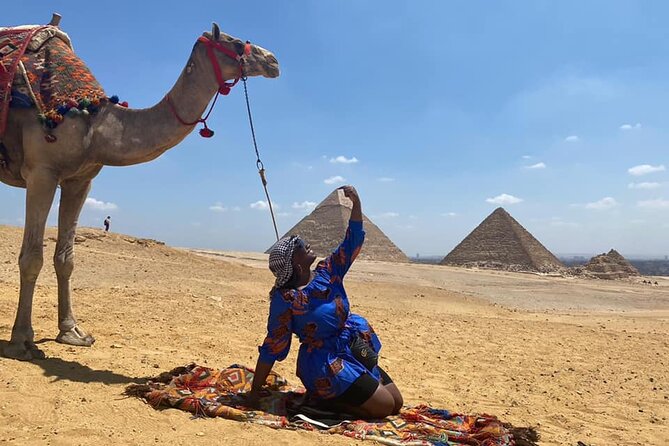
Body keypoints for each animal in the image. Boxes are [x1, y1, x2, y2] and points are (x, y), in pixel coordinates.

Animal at [0, 15, 279, 360]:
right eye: (237, 43)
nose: (273, 61)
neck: (94, 125)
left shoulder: (80, 180)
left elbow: (65, 259)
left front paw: (72, 332)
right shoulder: (41, 172)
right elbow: (32, 258)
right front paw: (22, 339)